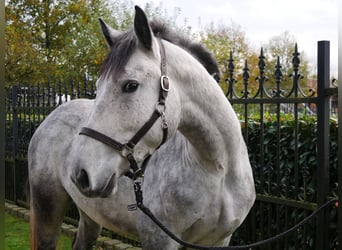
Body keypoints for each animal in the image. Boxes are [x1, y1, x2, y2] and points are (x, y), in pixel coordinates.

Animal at [28, 5, 255, 250]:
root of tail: (52, 116)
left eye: (131, 85)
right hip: (48, 209)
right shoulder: (159, 239)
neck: (218, 169)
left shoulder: (219, 240)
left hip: (90, 215)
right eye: (98, 86)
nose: (81, 174)